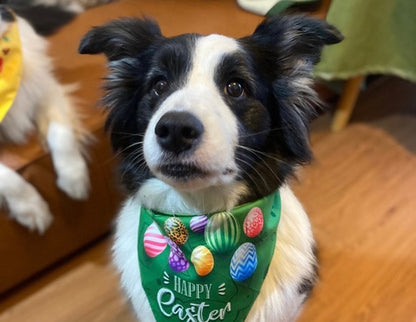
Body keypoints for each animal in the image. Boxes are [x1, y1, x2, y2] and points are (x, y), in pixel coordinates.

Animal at [0, 3, 92, 234]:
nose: (7, 12)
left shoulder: (44, 89)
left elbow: (60, 133)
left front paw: (73, 177)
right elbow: (7, 177)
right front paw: (32, 208)